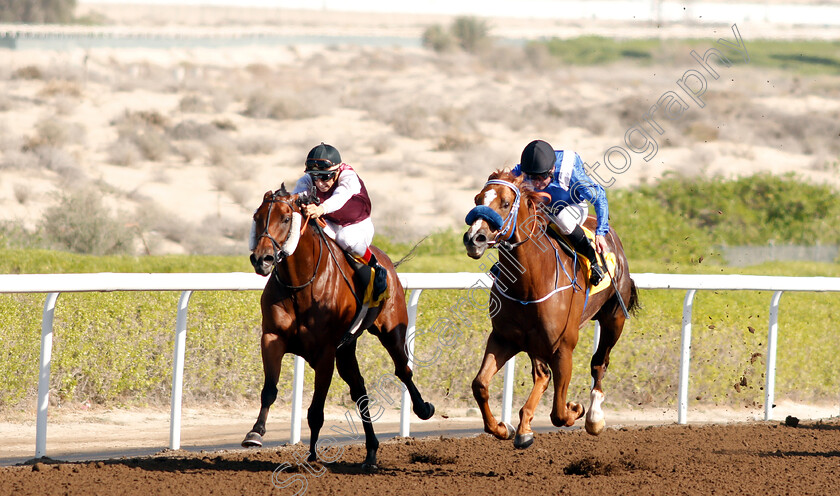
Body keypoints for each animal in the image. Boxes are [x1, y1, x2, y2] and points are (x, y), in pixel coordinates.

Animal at [241, 186, 434, 468]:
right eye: (256, 217)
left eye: (286, 218)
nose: (261, 259)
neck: (300, 283)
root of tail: (386, 262)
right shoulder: (272, 338)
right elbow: (269, 390)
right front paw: (255, 433)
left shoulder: (325, 353)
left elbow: (316, 411)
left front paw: (312, 457)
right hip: (346, 350)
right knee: (360, 391)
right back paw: (371, 452)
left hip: (391, 331)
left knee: (403, 369)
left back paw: (423, 408)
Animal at [466, 170, 636, 450]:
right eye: (477, 199)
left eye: (505, 203)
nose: (474, 239)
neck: (528, 284)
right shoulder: (503, 338)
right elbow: (480, 384)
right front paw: (503, 428)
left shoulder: (563, 347)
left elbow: (558, 412)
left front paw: (575, 409)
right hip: (535, 342)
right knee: (542, 376)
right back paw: (524, 427)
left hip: (614, 318)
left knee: (599, 362)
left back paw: (594, 417)